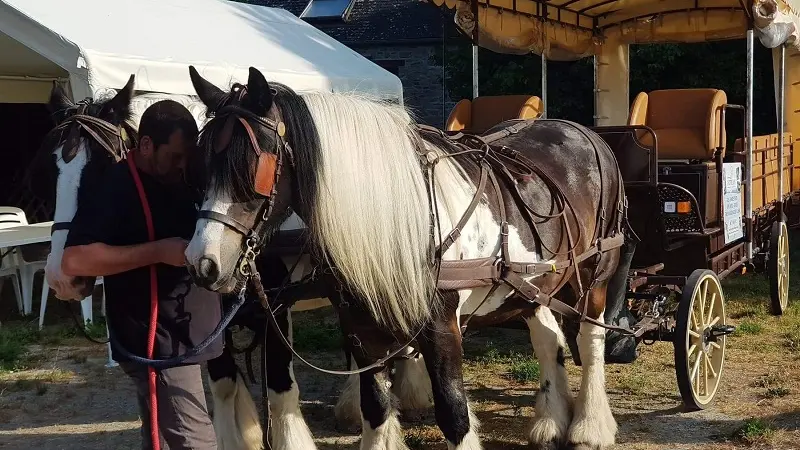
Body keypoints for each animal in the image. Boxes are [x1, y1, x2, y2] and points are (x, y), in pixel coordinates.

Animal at [37, 75, 434, 448]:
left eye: (102, 166)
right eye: (50, 170)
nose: (61, 277)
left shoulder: (275, 306)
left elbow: (280, 389)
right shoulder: (212, 321)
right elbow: (224, 385)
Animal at [184, 67, 628, 450]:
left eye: (252, 166)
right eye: (200, 165)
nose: (203, 262)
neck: (403, 215)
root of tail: (581, 131)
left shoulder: (441, 327)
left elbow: (453, 413)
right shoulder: (360, 328)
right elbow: (376, 408)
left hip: (595, 274)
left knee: (589, 341)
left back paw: (589, 426)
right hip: (533, 283)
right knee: (548, 339)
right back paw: (550, 422)